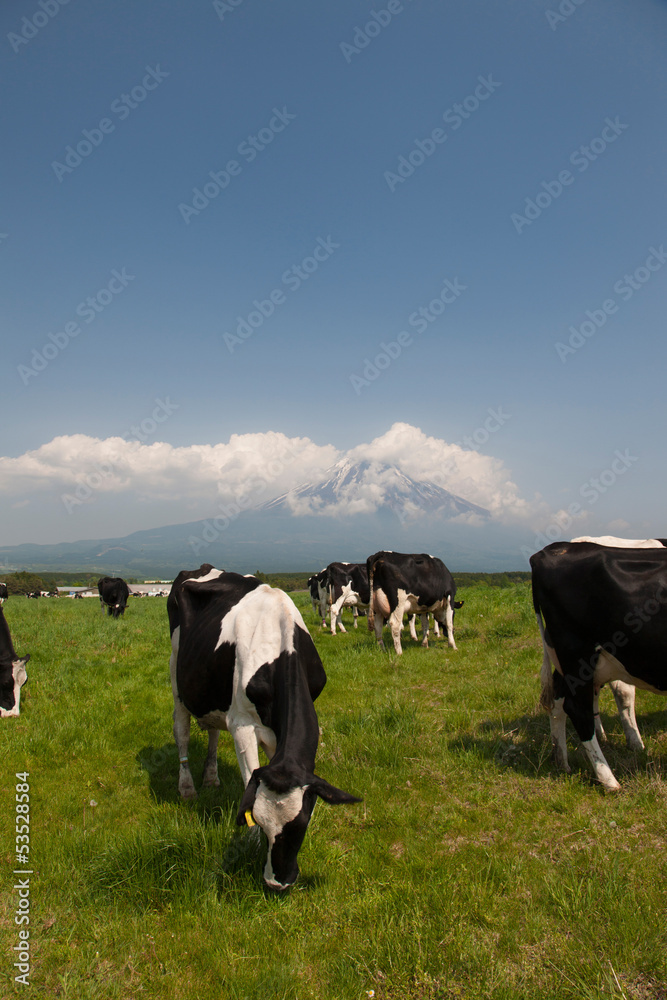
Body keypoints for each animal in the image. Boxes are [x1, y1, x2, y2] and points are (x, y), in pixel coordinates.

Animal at [170, 564, 362, 892]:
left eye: (301, 823)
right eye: (258, 821)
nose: (277, 882)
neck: (278, 648)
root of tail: (202, 568)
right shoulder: (242, 726)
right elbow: (249, 778)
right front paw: (250, 842)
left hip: (213, 691)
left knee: (212, 733)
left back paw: (211, 777)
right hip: (177, 679)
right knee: (181, 732)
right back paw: (188, 787)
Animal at [536, 544, 667, 792]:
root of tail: (551, 550)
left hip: (568, 661)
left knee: (558, 702)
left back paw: (562, 761)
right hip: (578, 653)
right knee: (578, 710)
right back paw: (608, 779)